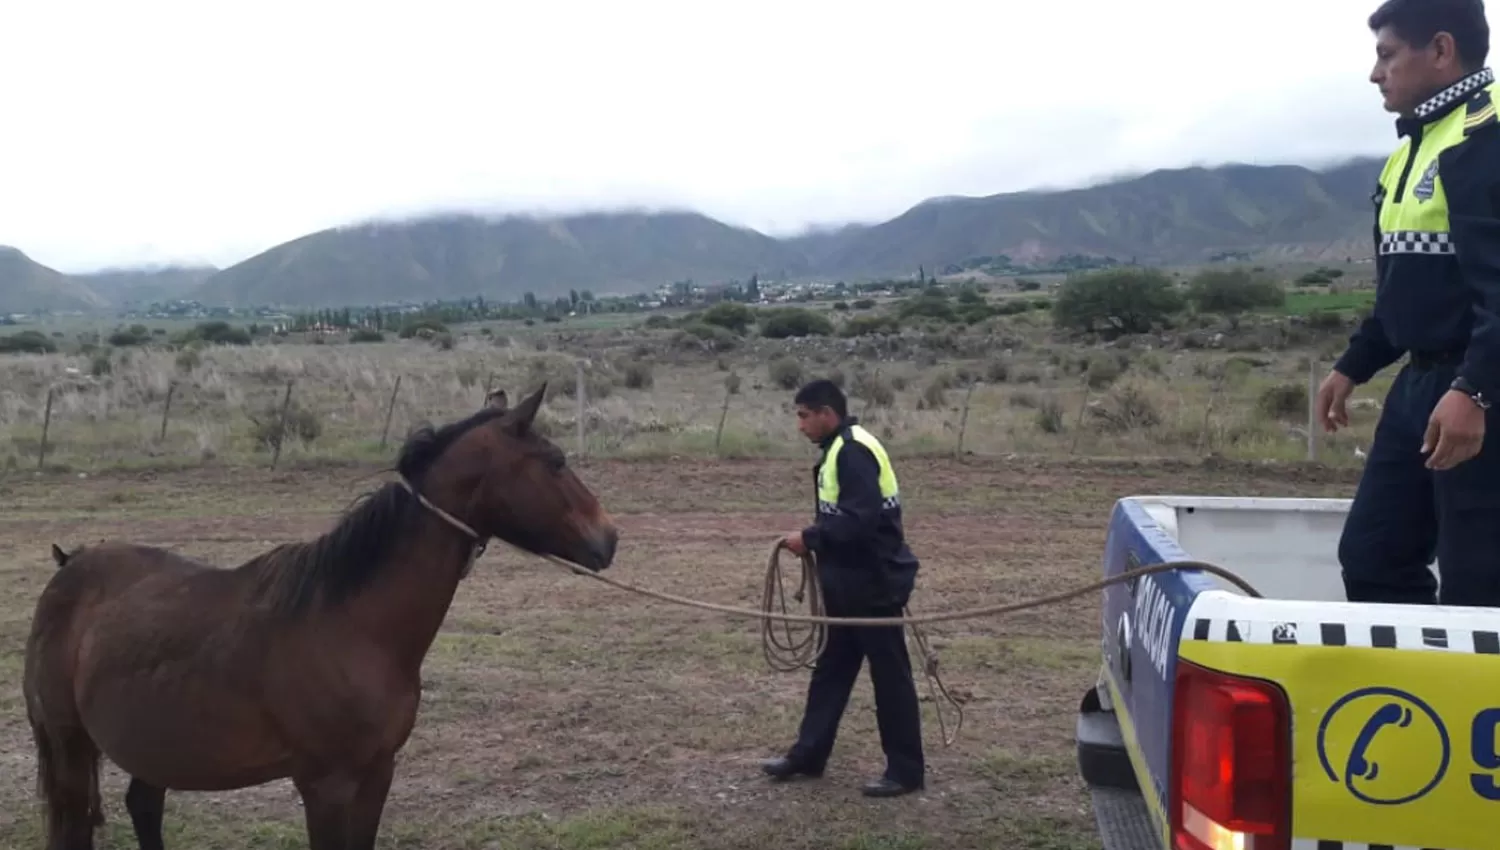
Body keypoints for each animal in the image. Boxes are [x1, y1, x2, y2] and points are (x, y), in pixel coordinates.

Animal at [19, 386, 615, 850]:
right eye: (557, 462)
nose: (608, 538)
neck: (351, 626)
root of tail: (68, 567)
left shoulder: (377, 773)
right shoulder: (324, 786)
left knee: (144, 805)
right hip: (71, 747)